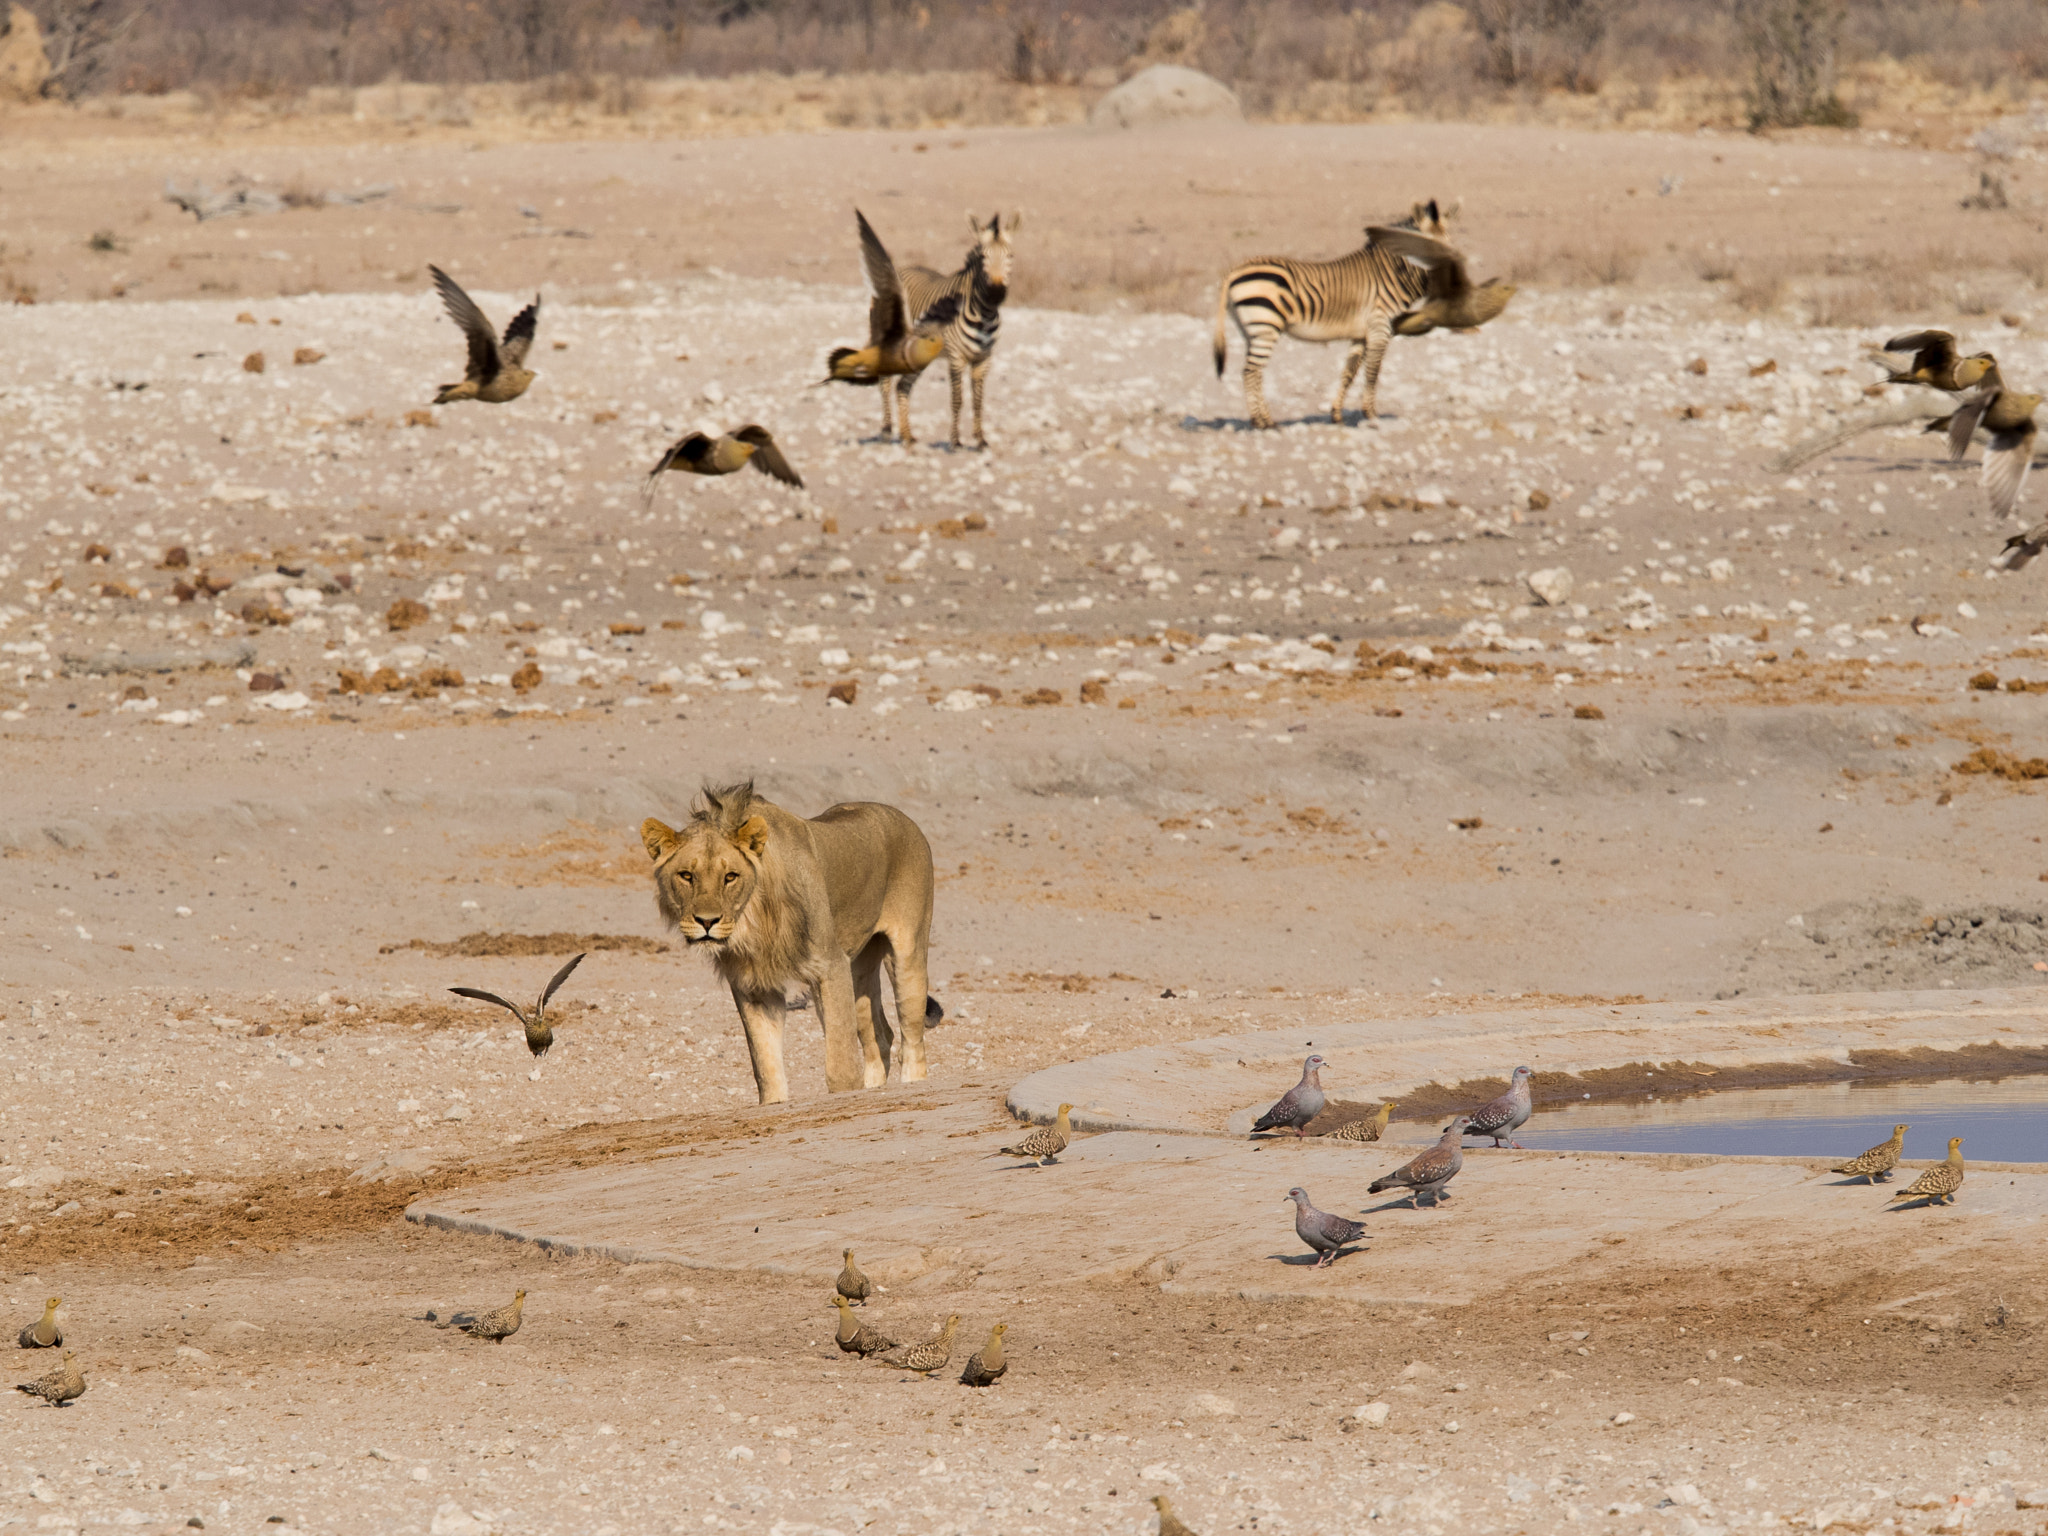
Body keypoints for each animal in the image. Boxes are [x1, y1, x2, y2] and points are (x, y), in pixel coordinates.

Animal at [638, 782, 942, 1105]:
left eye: (730, 877)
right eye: (686, 876)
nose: (707, 922)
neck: (753, 920)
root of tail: (905, 819)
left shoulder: (830, 966)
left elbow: (841, 1063)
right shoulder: (753, 986)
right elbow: (766, 1063)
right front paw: (774, 1102)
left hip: (907, 956)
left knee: (912, 1042)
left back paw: (912, 1083)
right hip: (859, 970)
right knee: (880, 1037)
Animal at [880, 207, 1024, 444]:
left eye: (1010, 256)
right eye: (983, 256)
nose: (995, 294)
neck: (985, 315)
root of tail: (906, 268)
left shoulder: (984, 359)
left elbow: (978, 400)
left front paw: (980, 440)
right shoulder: (957, 357)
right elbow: (958, 400)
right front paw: (955, 441)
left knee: (903, 385)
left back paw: (907, 435)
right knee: (886, 380)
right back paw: (886, 429)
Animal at [1212, 198, 1458, 430]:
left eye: (1449, 242)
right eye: (1429, 247)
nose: (1453, 275)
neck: (1392, 276)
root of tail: (1235, 270)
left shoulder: (1361, 334)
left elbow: (1349, 373)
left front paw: (1337, 415)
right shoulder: (1379, 328)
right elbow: (1373, 373)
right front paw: (1371, 415)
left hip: (1251, 330)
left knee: (1254, 372)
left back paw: (1265, 419)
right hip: (1265, 326)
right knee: (1250, 372)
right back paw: (1262, 422)